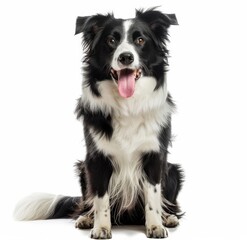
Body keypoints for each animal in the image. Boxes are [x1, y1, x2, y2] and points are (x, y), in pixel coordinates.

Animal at [13, 8, 183, 239]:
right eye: (111, 40)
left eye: (140, 40)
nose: (126, 57)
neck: (128, 105)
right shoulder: (96, 159)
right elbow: (101, 199)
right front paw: (101, 227)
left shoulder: (156, 156)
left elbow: (153, 195)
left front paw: (155, 225)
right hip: (83, 170)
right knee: (88, 202)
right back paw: (86, 218)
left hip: (173, 170)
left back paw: (168, 217)